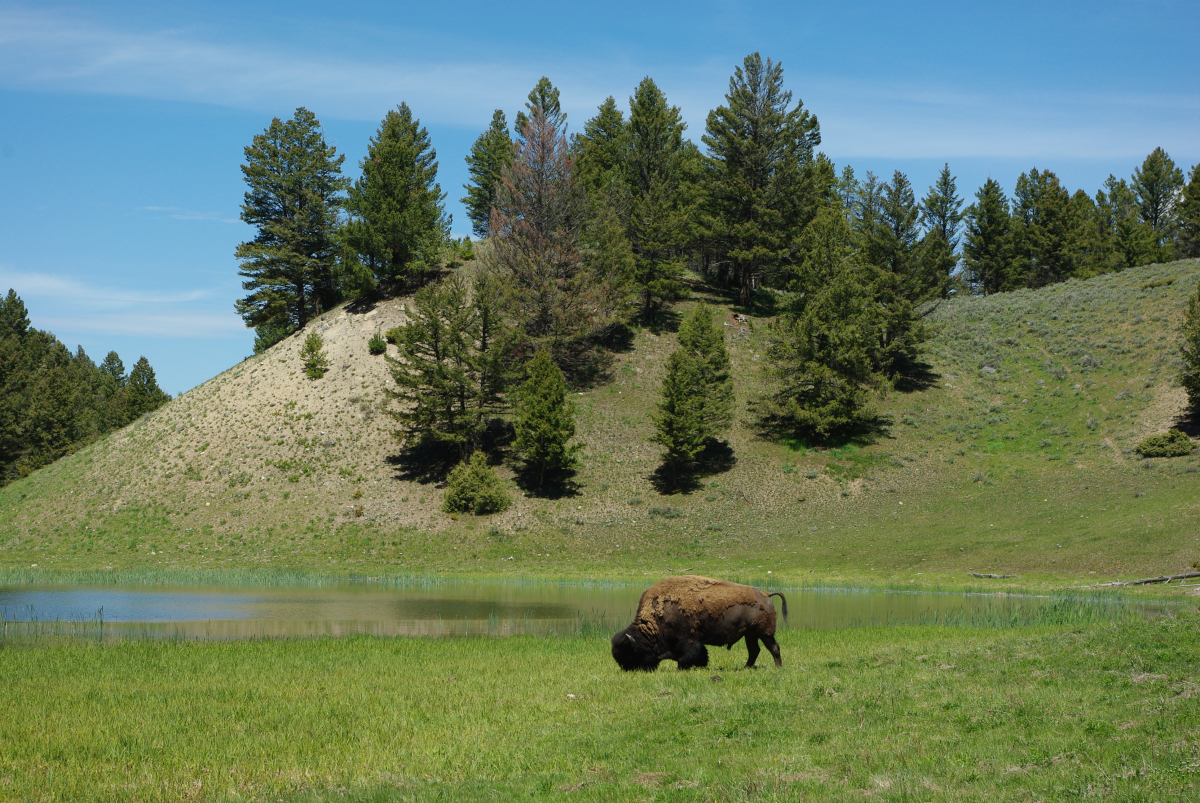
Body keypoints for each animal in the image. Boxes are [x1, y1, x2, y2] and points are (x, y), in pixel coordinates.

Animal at [611, 575, 787, 671]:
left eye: (631, 653)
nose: (629, 670)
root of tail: (766, 594)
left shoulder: (688, 640)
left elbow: (687, 655)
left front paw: (681, 668)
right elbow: (701, 653)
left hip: (764, 633)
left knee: (774, 648)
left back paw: (778, 667)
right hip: (750, 635)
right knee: (754, 651)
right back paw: (746, 668)